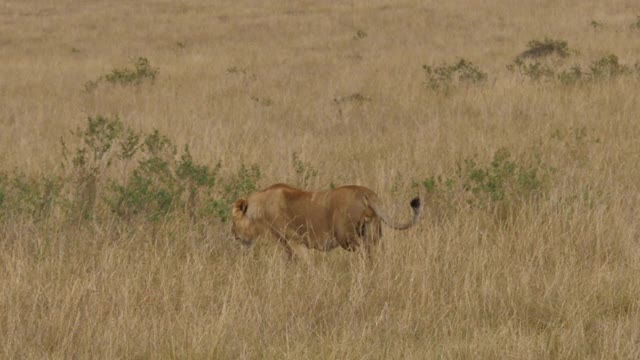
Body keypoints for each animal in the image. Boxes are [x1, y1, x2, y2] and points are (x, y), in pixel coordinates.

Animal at [230, 184, 420, 260]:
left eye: (233, 221)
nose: (233, 235)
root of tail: (367, 192)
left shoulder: (295, 241)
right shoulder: (286, 245)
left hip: (346, 237)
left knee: (364, 253)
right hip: (372, 233)